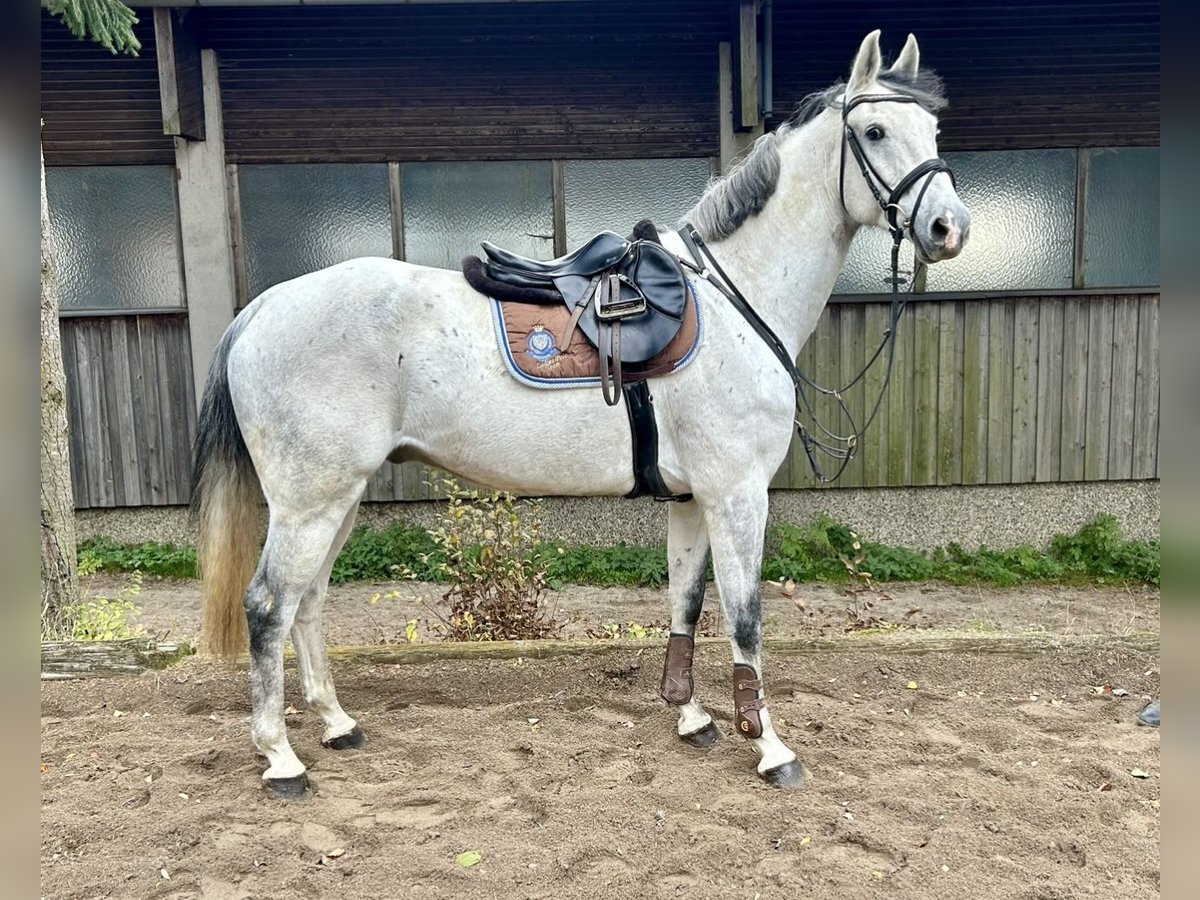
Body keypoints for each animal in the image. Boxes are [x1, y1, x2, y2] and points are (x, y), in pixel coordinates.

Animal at [192, 31, 969, 801]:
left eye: (932, 130)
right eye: (874, 131)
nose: (949, 228)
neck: (733, 299)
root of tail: (261, 308)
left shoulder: (693, 497)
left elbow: (686, 602)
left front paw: (690, 717)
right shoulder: (737, 492)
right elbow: (745, 618)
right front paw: (771, 748)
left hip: (337, 496)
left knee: (308, 601)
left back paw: (336, 723)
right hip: (311, 499)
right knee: (268, 606)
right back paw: (281, 757)